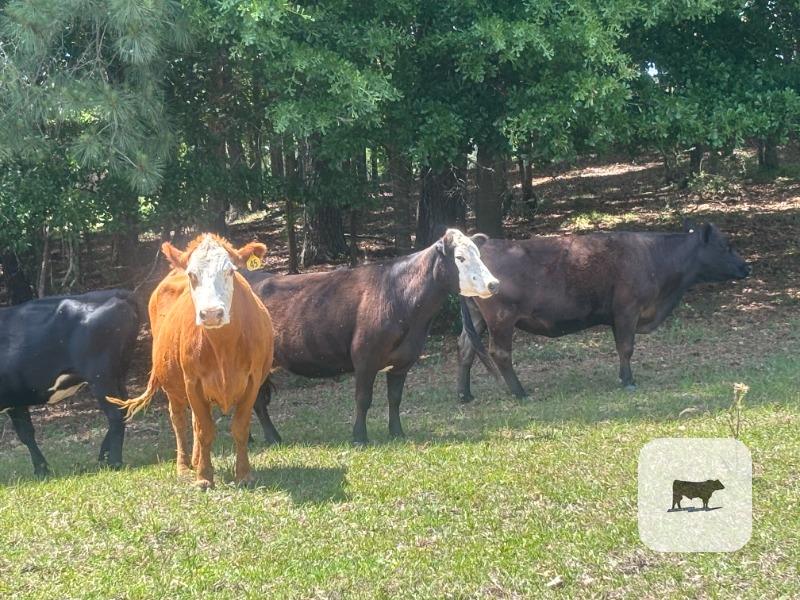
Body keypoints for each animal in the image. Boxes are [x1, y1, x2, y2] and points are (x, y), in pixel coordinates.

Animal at [0, 289, 139, 476]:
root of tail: (116, 293)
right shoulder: (16, 399)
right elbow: (27, 434)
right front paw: (42, 470)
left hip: (101, 375)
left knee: (115, 414)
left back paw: (114, 462)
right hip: (118, 373)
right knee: (125, 408)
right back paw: (103, 456)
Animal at [109, 235, 274, 489]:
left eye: (230, 271)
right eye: (192, 275)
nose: (212, 313)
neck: (223, 347)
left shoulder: (253, 381)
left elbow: (240, 427)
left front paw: (244, 475)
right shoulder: (192, 381)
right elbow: (205, 430)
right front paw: (204, 477)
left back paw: (196, 460)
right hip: (174, 387)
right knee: (180, 420)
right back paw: (185, 466)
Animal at [245, 228, 500, 446]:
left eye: (479, 254)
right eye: (460, 258)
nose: (494, 284)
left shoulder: (403, 360)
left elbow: (395, 397)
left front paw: (397, 433)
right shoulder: (365, 358)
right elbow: (363, 398)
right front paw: (359, 437)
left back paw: (252, 439)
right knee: (255, 401)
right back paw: (271, 438)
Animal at [457, 222, 750, 400]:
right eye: (725, 246)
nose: (747, 267)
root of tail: (486, 245)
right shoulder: (627, 311)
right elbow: (626, 348)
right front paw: (628, 381)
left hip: (478, 318)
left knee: (466, 348)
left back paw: (464, 394)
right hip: (501, 319)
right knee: (500, 353)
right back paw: (520, 392)